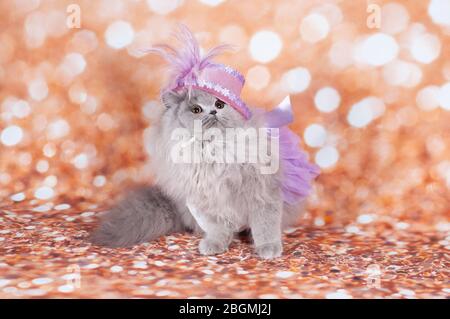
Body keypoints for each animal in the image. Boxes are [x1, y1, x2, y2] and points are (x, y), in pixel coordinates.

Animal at [89, 89, 304, 258]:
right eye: (196, 110)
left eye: (219, 104)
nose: (213, 111)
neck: (213, 150)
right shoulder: (206, 199)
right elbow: (218, 228)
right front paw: (214, 245)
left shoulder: (262, 191)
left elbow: (265, 225)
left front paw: (268, 248)